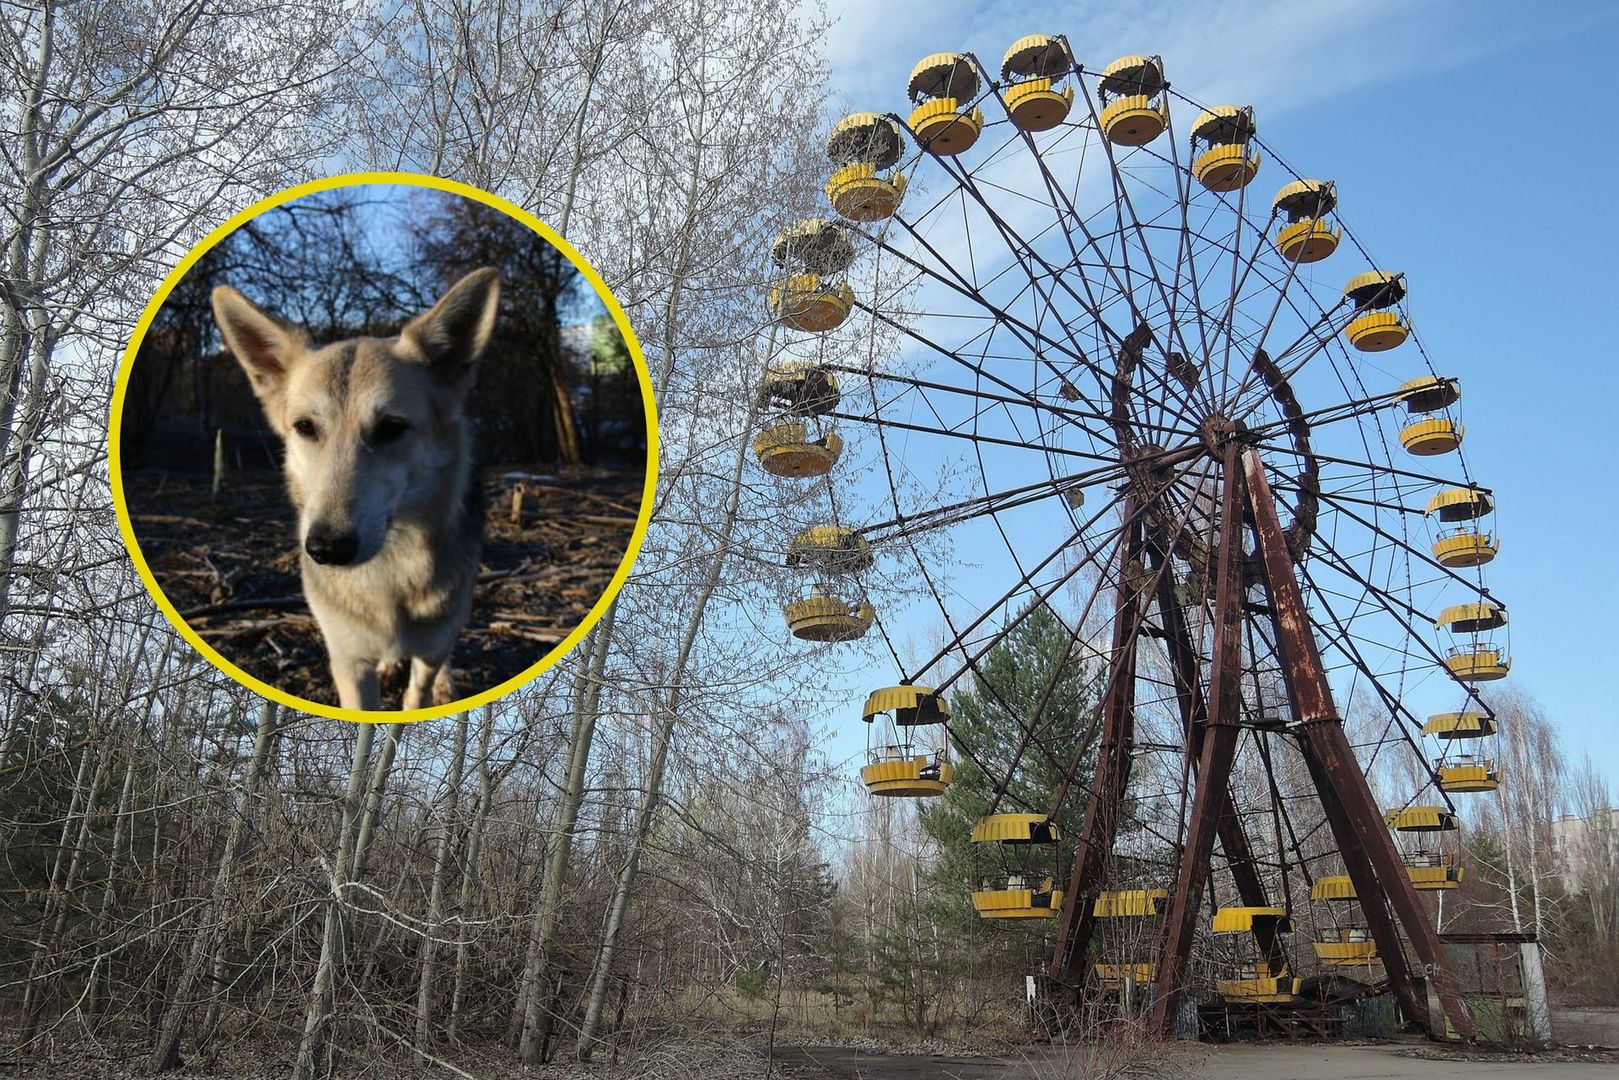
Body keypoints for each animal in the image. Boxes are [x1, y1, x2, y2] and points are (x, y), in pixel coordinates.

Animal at [213, 268, 498, 709]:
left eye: (391, 428)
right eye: (305, 427)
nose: (327, 549)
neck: (388, 571)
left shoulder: (431, 649)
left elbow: (416, 693)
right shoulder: (347, 661)